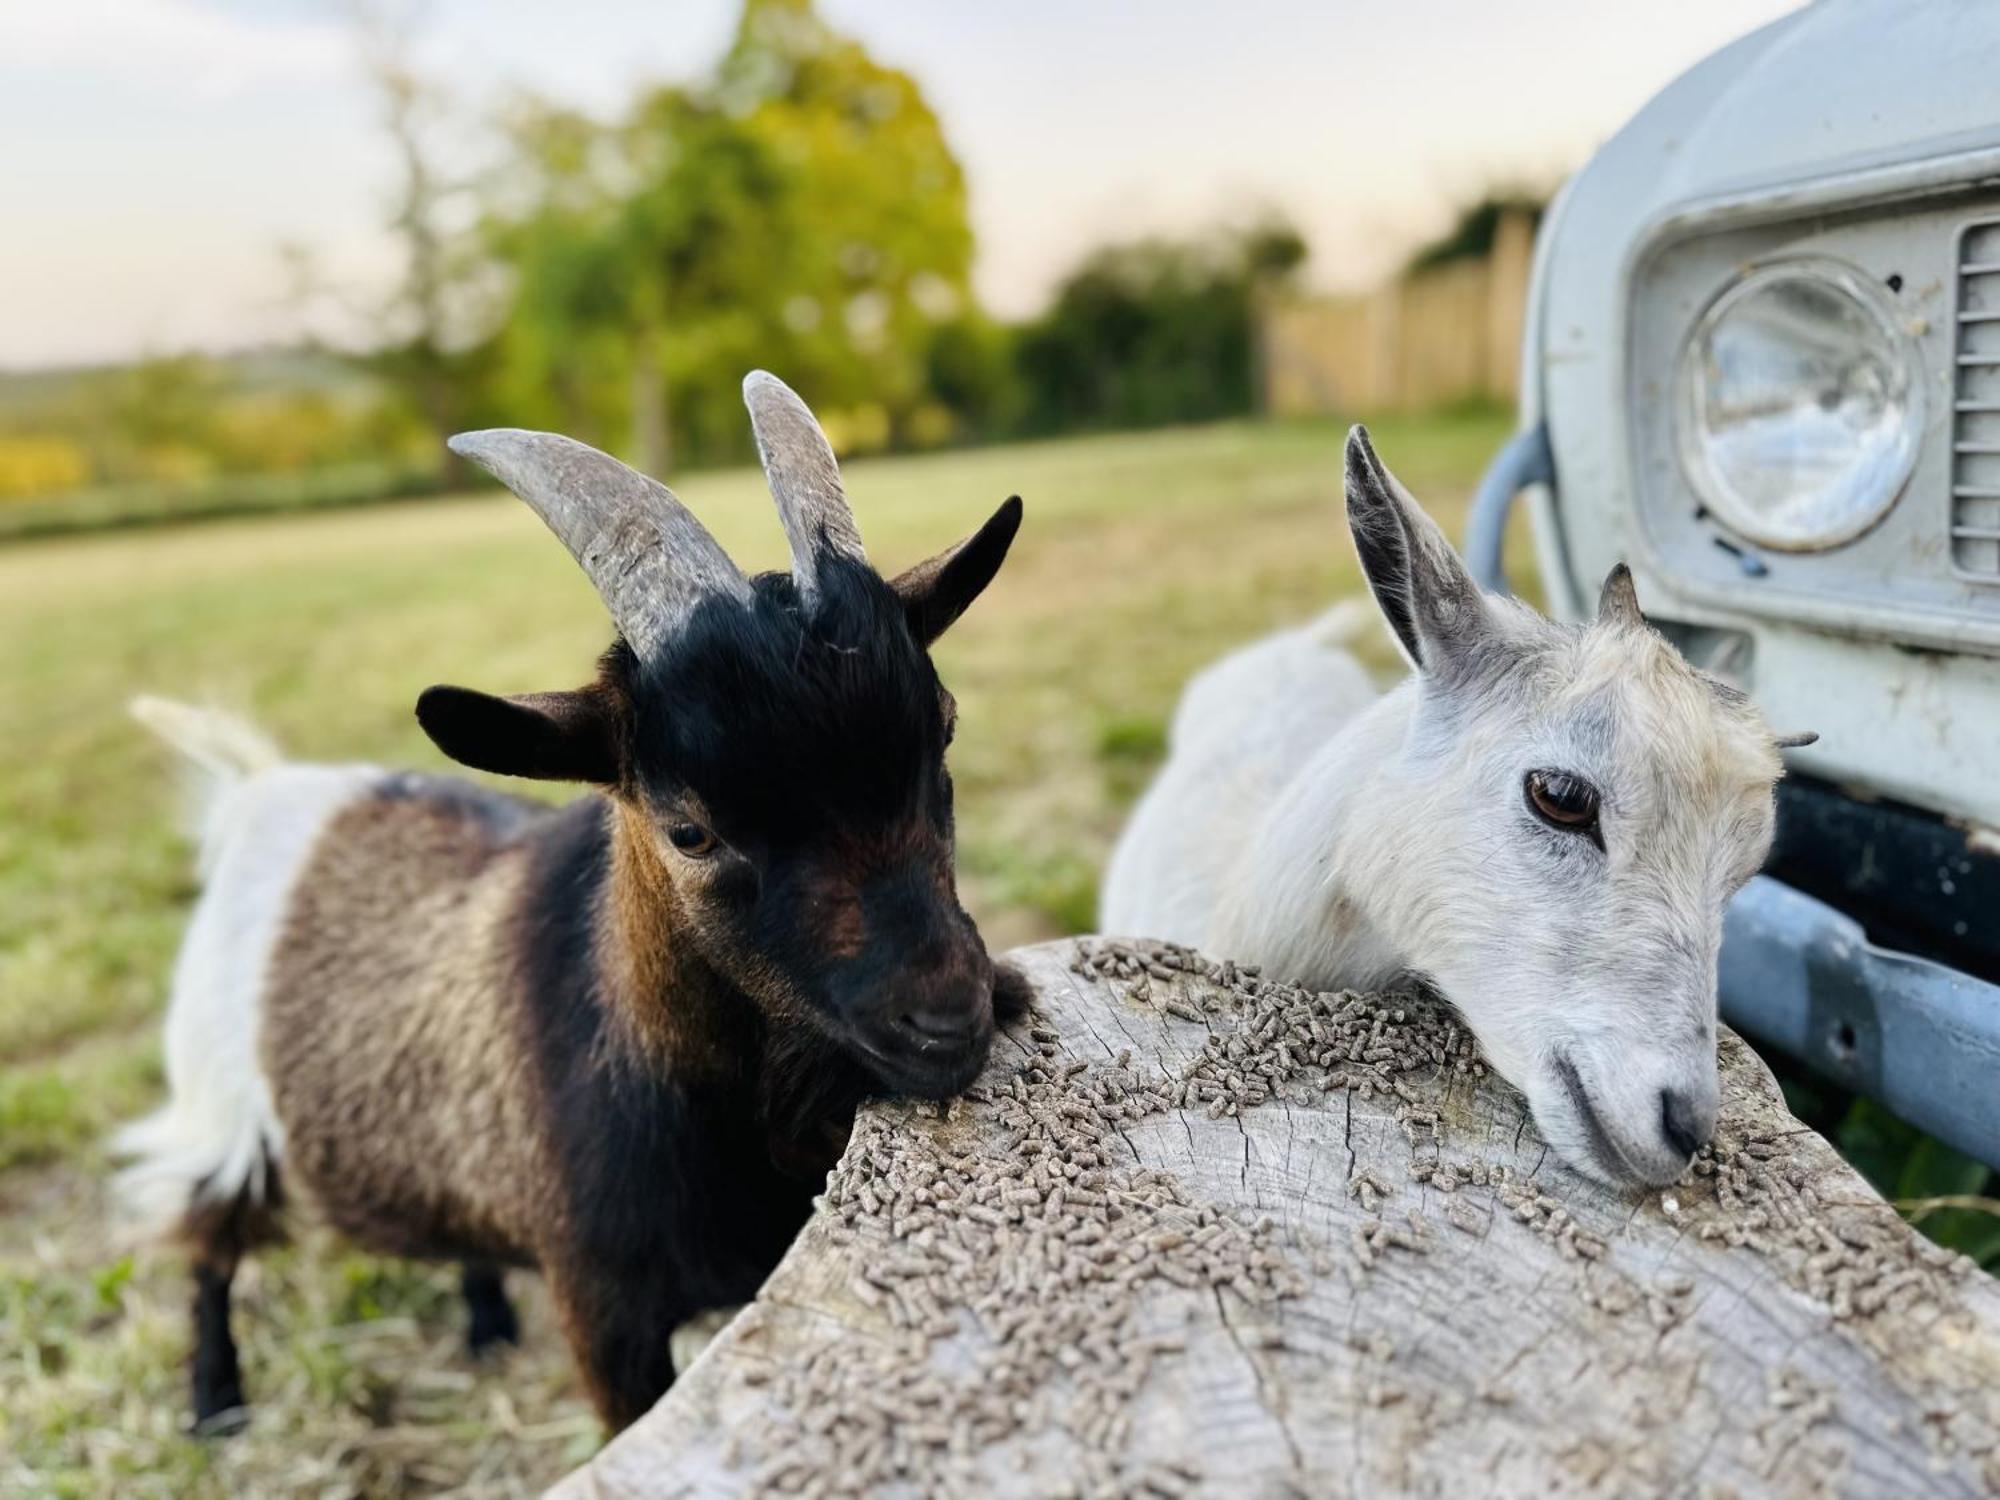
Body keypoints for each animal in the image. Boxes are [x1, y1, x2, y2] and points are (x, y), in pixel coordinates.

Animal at [115, 374, 1024, 1432]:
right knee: (209, 1244)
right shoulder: (604, 1312)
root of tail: (261, 790)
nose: (952, 1017)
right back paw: (216, 1403)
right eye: (689, 830)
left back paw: (483, 1324)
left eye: (945, 729)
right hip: (217, 1106)